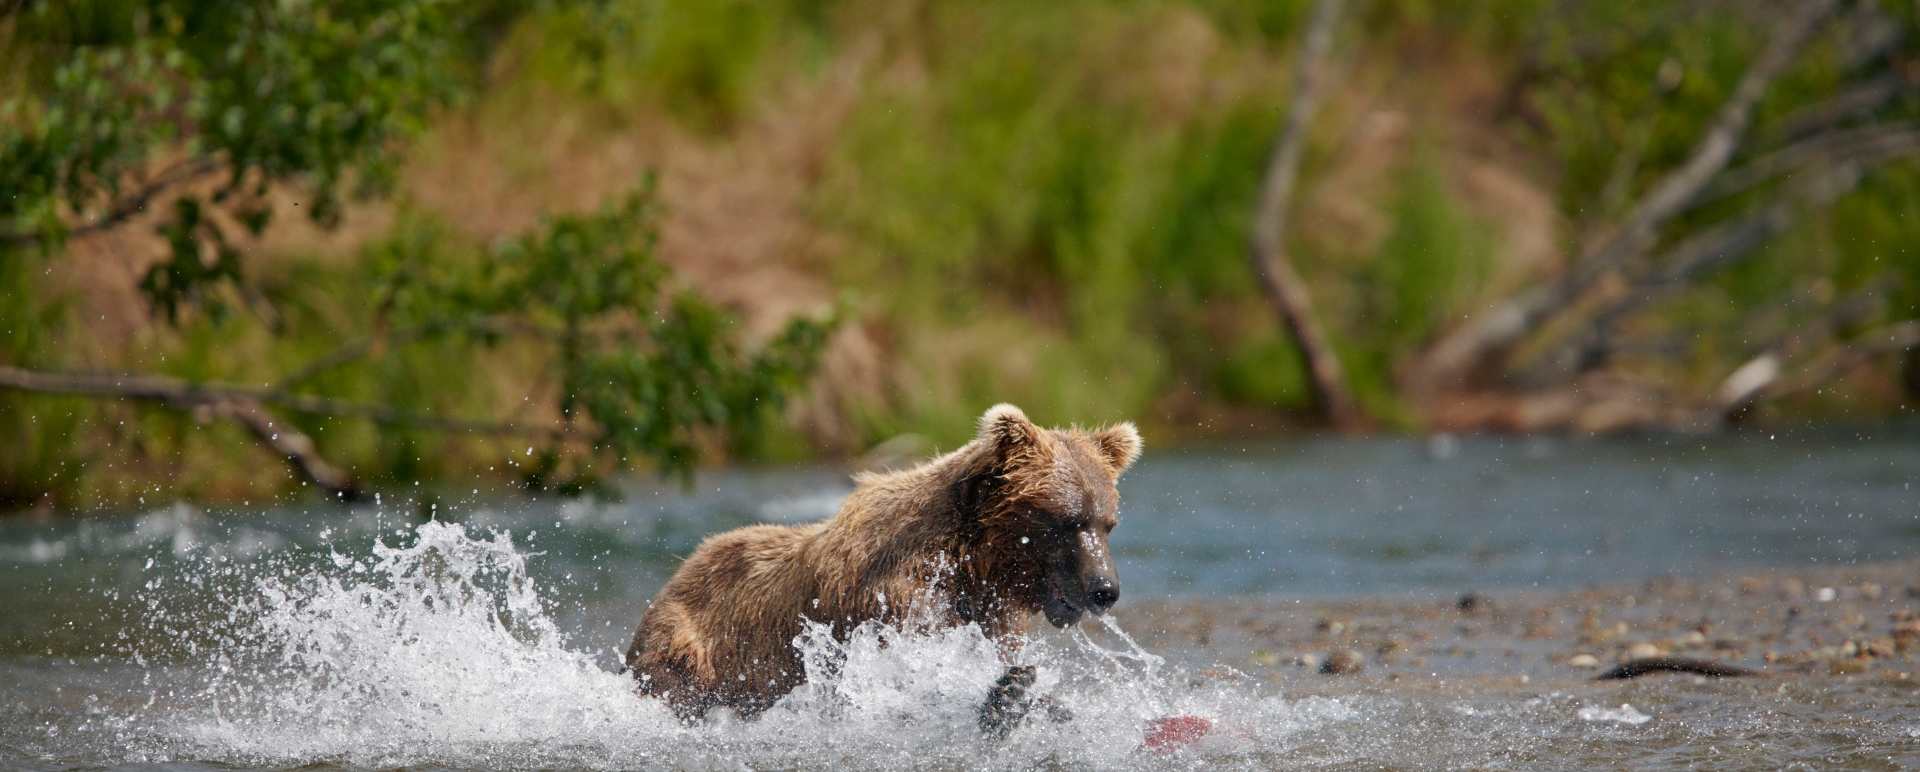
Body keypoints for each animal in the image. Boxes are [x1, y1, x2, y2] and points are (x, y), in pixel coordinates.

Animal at [624, 403, 1141, 734]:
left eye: (1108, 522)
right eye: (1066, 521)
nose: (1105, 589)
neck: (971, 558)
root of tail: (677, 574)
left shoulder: (989, 610)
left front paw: (1031, 695)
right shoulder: (895, 597)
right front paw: (1011, 694)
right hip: (691, 647)